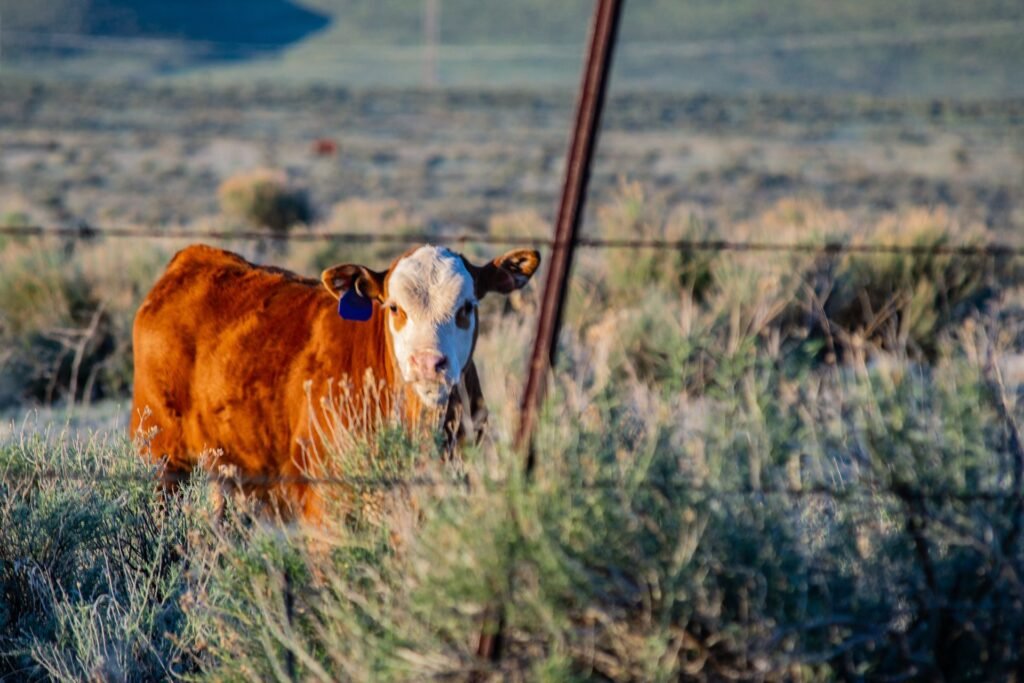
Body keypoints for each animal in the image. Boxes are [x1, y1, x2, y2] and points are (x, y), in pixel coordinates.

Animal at [130, 243, 540, 522]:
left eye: (466, 307)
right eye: (394, 308)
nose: (428, 363)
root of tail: (192, 260)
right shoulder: (324, 502)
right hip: (161, 457)